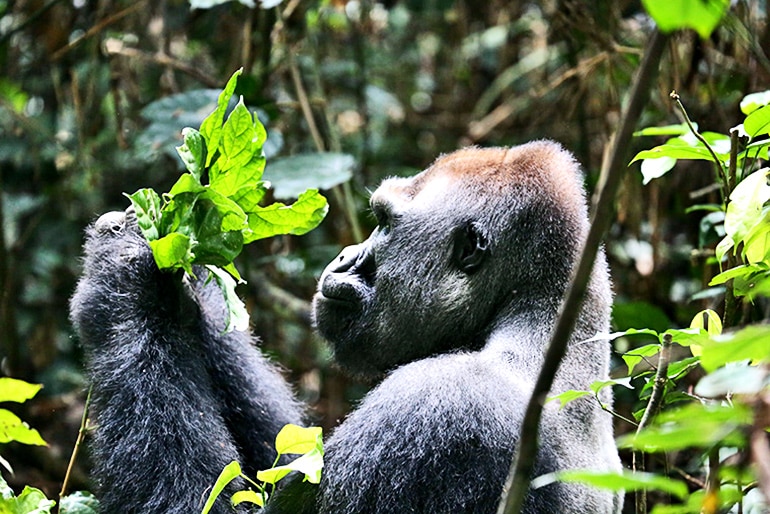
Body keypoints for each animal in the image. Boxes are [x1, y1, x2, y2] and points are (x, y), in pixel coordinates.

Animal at [70, 140, 624, 512]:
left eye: (383, 222)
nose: (344, 257)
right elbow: (284, 449)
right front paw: (187, 290)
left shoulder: (441, 406)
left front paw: (126, 279)